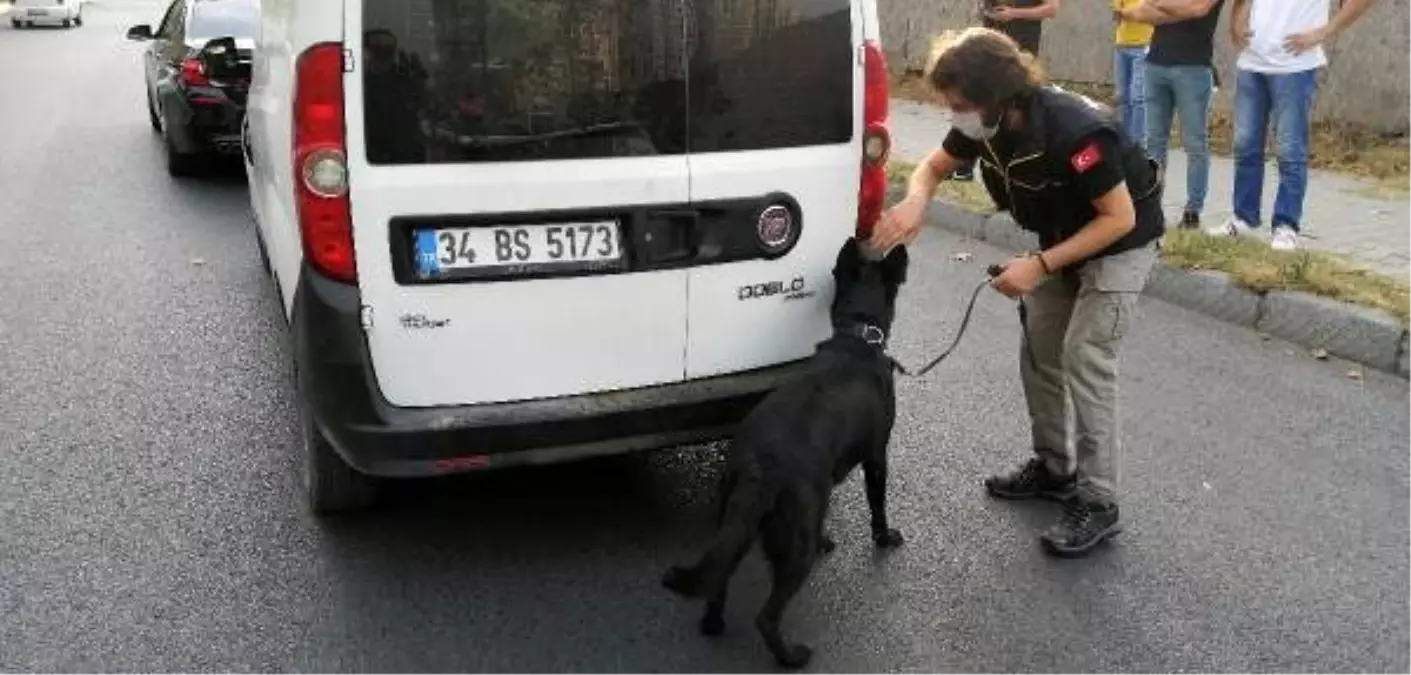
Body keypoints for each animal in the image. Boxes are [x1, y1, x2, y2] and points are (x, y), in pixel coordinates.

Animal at [657, 237, 903, 669]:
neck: (857, 337)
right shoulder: (877, 457)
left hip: (733, 521)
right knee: (766, 616)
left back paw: (713, 625)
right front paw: (885, 537)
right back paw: (791, 656)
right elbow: (878, 505)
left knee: (718, 581)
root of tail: (760, 469)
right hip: (793, 546)